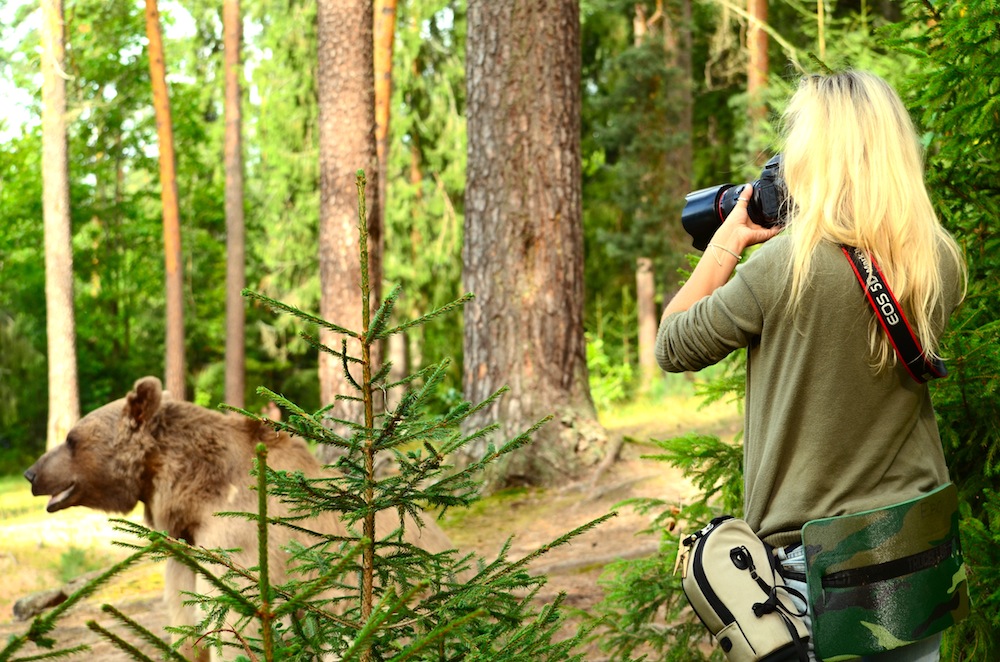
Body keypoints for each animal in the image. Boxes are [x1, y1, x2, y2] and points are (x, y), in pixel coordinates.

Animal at [24, 376, 454, 660]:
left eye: (71, 439)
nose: (31, 473)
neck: (190, 494)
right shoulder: (188, 552)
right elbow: (187, 619)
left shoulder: (238, 540)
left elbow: (232, 623)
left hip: (391, 602)